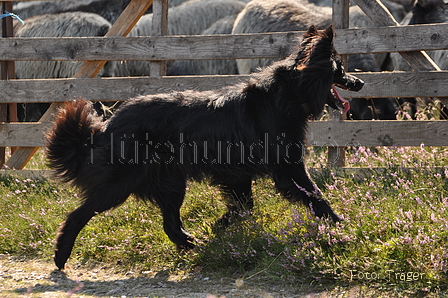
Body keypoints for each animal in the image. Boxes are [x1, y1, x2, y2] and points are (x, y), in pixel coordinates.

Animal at [46, 24, 364, 268]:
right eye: (339, 68)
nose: (360, 83)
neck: (288, 93)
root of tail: (106, 127)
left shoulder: (238, 174)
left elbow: (245, 205)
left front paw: (220, 225)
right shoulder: (287, 169)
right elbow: (316, 196)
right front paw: (341, 224)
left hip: (172, 182)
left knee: (170, 223)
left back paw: (192, 245)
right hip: (121, 182)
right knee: (78, 214)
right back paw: (61, 257)